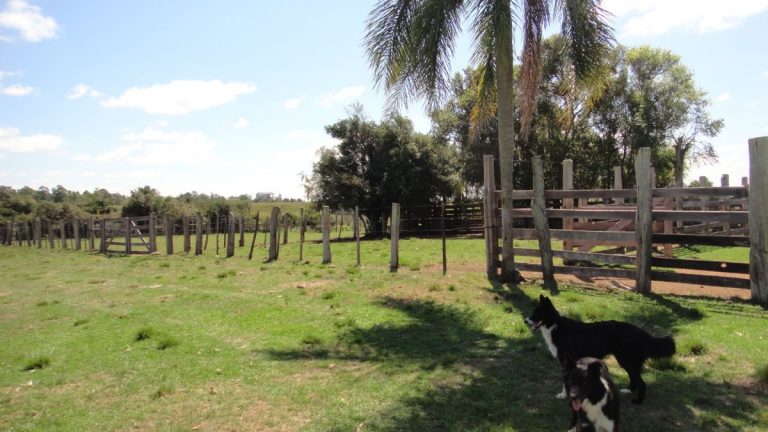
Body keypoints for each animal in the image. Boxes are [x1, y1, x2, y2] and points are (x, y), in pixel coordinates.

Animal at [524, 296, 676, 404]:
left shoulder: (566, 362)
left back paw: (638, 401)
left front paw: (564, 395)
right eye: (533, 312)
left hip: (627, 360)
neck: (555, 325)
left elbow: (565, 381)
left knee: (642, 383)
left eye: (537, 313)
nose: (525, 321)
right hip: (626, 361)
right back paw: (627, 391)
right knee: (634, 378)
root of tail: (641, 332)